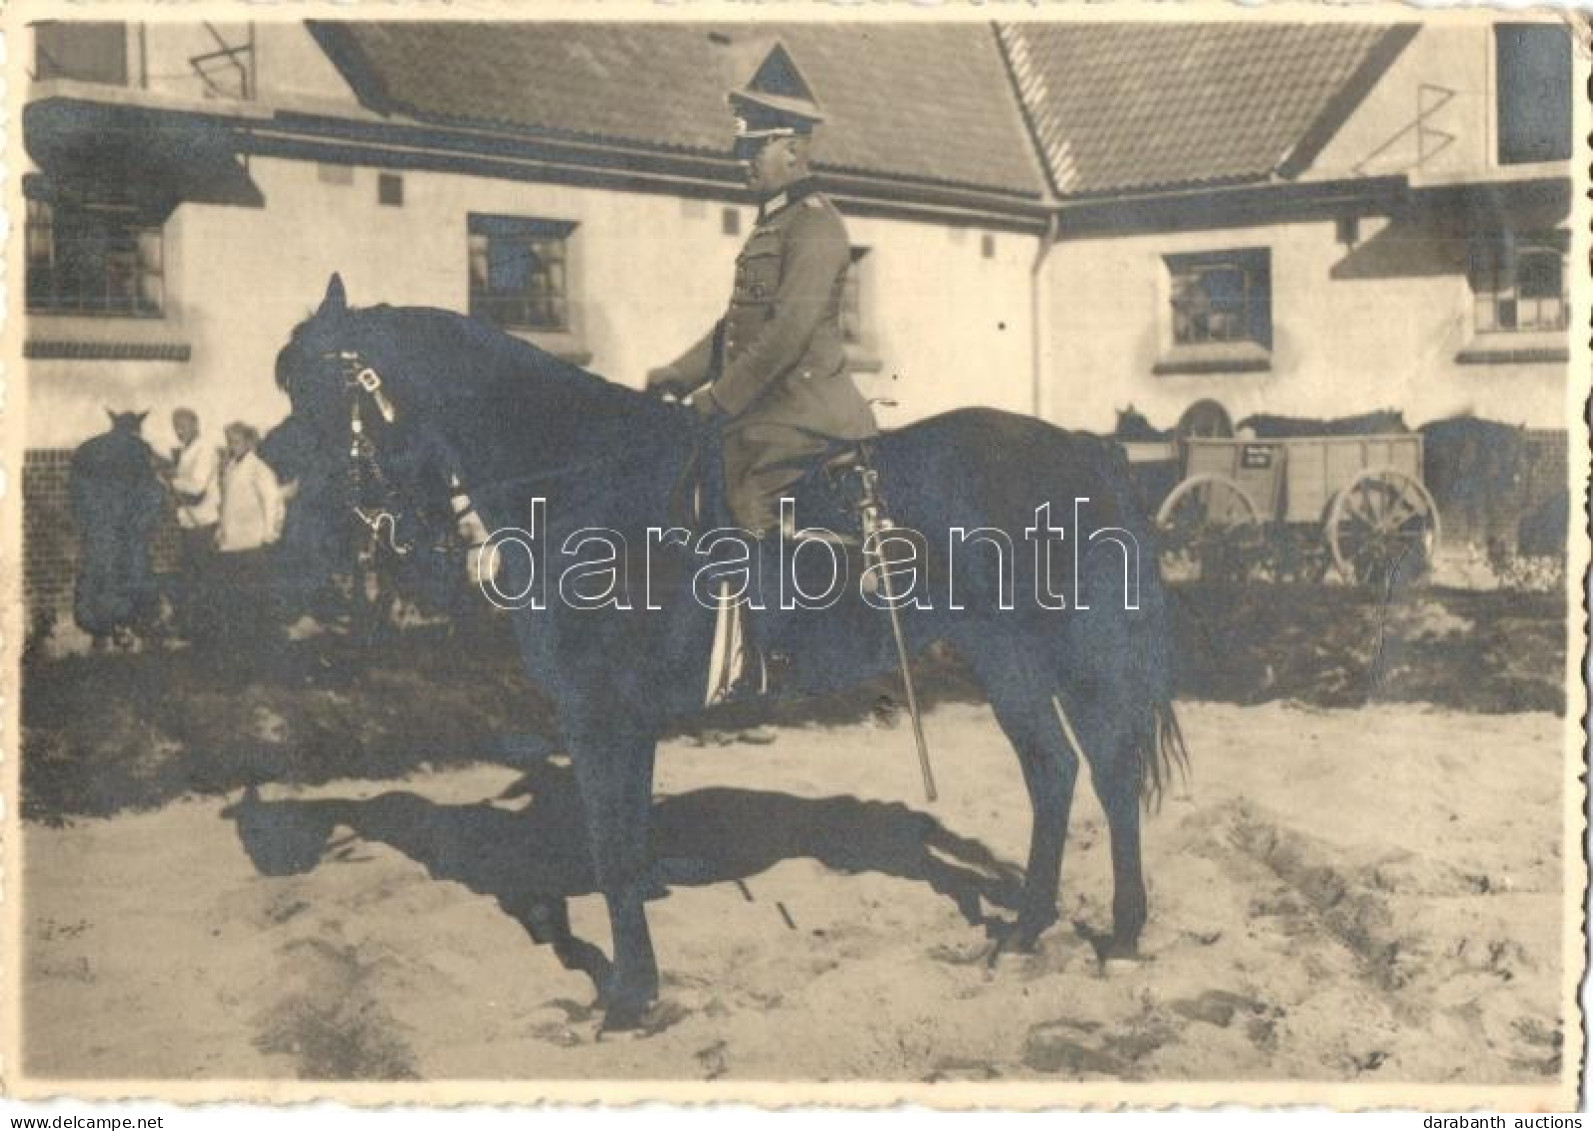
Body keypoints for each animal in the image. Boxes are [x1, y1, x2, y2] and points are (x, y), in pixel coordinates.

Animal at [280, 278, 1191, 1032]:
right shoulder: (610, 717)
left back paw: (1120, 934)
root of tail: (1082, 447)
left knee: (1108, 774)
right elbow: (620, 841)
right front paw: (634, 987)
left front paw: (629, 1001)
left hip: (1077, 651)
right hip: (1001, 656)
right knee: (1053, 772)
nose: (307, 539)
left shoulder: (603, 712)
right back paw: (1024, 930)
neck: (583, 483)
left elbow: (614, 849)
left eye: (321, 390)